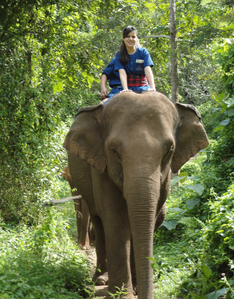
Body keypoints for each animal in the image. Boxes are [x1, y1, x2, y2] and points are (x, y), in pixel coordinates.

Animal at [62, 92, 208, 299]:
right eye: (114, 150)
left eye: (169, 150)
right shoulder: (101, 168)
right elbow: (116, 220)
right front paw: (122, 294)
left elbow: (148, 219)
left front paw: (135, 288)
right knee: (100, 222)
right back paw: (100, 280)